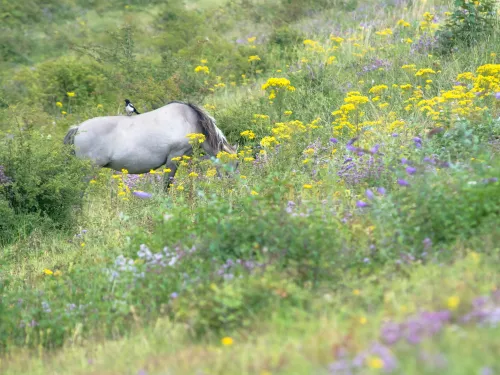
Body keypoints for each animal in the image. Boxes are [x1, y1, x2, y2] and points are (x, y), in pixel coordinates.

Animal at [64, 100, 236, 188]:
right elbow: (167, 184)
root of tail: (78, 128)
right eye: (236, 164)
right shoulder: (174, 157)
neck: (189, 119)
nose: (234, 186)